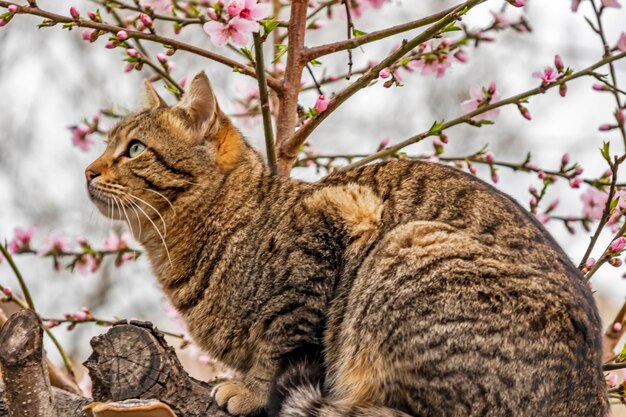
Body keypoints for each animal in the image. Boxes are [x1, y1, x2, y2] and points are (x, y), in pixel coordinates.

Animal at [85, 72, 608, 416]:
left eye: (134, 149)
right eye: (107, 146)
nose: (88, 170)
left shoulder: (339, 223)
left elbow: (279, 344)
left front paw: (251, 391)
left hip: (405, 246)